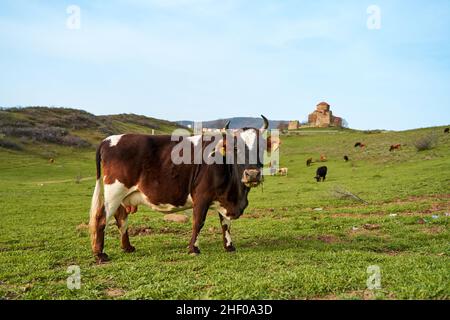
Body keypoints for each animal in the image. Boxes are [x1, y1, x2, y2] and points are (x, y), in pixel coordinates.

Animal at [89, 115, 278, 262]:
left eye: (262, 147)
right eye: (236, 148)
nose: (252, 174)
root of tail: (108, 139)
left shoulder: (223, 198)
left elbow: (225, 224)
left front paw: (229, 246)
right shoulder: (201, 196)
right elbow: (198, 222)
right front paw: (193, 248)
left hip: (122, 196)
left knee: (121, 218)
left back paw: (127, 247)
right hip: (114, 192)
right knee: (102, 218)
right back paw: (100, 254)